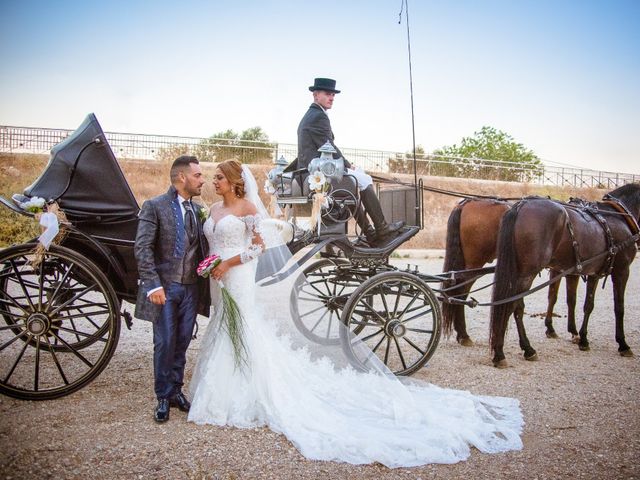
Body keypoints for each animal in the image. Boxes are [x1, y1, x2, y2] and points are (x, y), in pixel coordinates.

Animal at [442, 198, 584, 344]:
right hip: (474, 264)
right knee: (461, 291)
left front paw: (551, 328)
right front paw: (574, 333)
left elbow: (553, 296)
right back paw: (463, 335)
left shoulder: (559, 270)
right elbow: (573, 300)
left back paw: (462, 334)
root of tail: (466, 202)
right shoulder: (571, 271)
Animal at [490, 184, 640, 368]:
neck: (617, 216)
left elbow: (584, 304)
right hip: (527, 273)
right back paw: (511, 351)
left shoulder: (591, 273)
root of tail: (521, 205)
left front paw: (582, 338)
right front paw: (623, 344)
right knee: (514, 305)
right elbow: (619, 308)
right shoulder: (622, 271)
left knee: (514, 305)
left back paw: (517, 348)